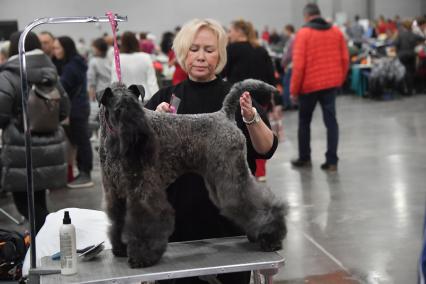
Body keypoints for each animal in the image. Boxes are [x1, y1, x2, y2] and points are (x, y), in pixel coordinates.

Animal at [97, 79, 286, 268]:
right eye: (118, 110)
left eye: (138, 107)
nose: (143, 137)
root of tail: (224, 114)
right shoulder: (114, 191)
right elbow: (118, 218)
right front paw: (121, 249)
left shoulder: (143, 190)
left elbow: (145, 220)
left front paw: (142, 256)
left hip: (231, 175)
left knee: (256, 202)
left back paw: (270, 238)